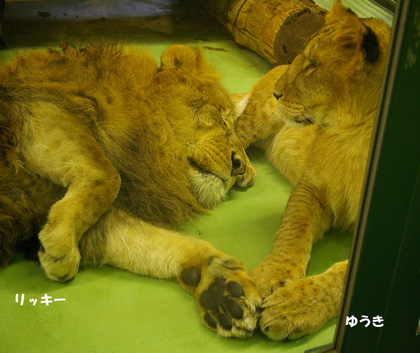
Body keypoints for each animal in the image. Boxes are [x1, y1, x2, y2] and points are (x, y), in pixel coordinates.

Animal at [0, 43, 260, 336]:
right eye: (220, 115)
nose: (239, 168)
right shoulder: (34, 107)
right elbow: (107, 174)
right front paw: (61, 241)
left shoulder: (58, 206)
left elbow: (156, 242)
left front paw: (223, 288)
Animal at [233, 0, 390, 340]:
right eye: (301, 59)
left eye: (312, 65)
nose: (278, 91)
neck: (355, 137)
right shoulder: (312, 187)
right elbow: (293, 230)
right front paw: (270, 278)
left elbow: (344, 277)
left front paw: (295, 305)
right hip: (261, 115)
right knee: (233, 128)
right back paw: (236, 166)